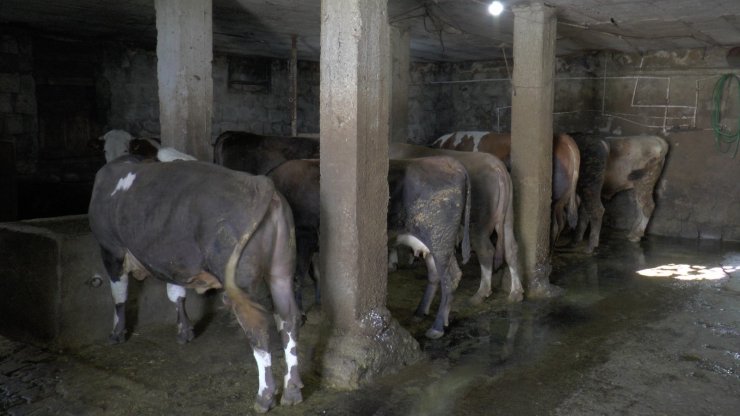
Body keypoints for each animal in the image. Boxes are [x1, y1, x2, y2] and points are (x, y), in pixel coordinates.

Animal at [88, 157, 302, 412]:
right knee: (288, 319)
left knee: (257, 327)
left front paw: (116, 334)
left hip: (241, 284)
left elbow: (119, 294)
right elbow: (176, 292)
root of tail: (258, 184)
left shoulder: (111, 249)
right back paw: (292, 391)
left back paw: (265, 396)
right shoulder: (173, 262)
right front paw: (185, 331)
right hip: (281, 272)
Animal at [388, 145, 528, 304]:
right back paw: (516, 292)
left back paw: (480, 293)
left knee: (486, 251)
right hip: (508, 218)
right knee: (511, 248)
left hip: (478, 222)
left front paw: (392, 263)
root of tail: (496, 165)